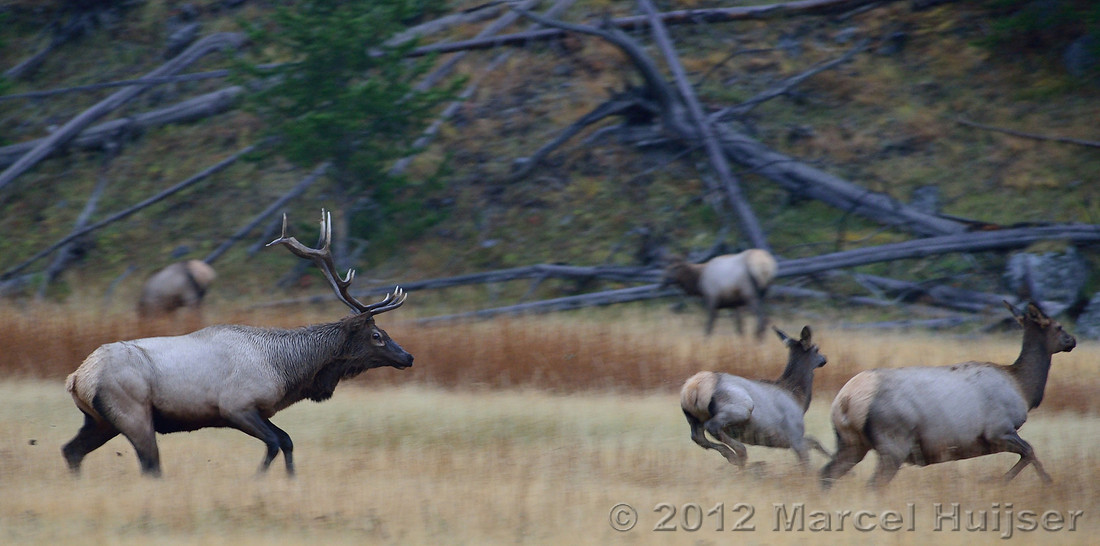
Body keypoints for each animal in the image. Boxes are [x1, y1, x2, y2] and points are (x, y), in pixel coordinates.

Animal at [62, 210, 413, 477]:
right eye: (377, 336)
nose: (408, 357)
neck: (286, 369)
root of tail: (77, 377)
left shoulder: (259, 410)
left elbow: (287, 440)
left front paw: (292, 479)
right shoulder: (235, 407)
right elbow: (274, 443)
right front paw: (258, 479)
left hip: (101, 420)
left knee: (71, 450)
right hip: (132, 413)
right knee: (150, 463)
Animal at [680, 325, 830, 469]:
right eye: (817, 349)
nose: (825, 358)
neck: (799, 399)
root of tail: (694, 388)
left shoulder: (787, 440)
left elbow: (814, 442)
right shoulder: (795, 434)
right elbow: (808, 459)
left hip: (692, 417)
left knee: (697, 437)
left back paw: (731, 455)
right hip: (741, 407)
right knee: (712, 426)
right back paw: (739, 453)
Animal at [820, 301, 1076, 489]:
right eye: (1059, 326)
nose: (1072, 340)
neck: (1022, 388)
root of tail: (845, 400)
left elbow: (1028, 454)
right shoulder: (998, 430)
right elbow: (1030, 451)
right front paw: (1038, 482)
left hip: (851, 441)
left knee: (826, 472)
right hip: (893, 440)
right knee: (873, 484)